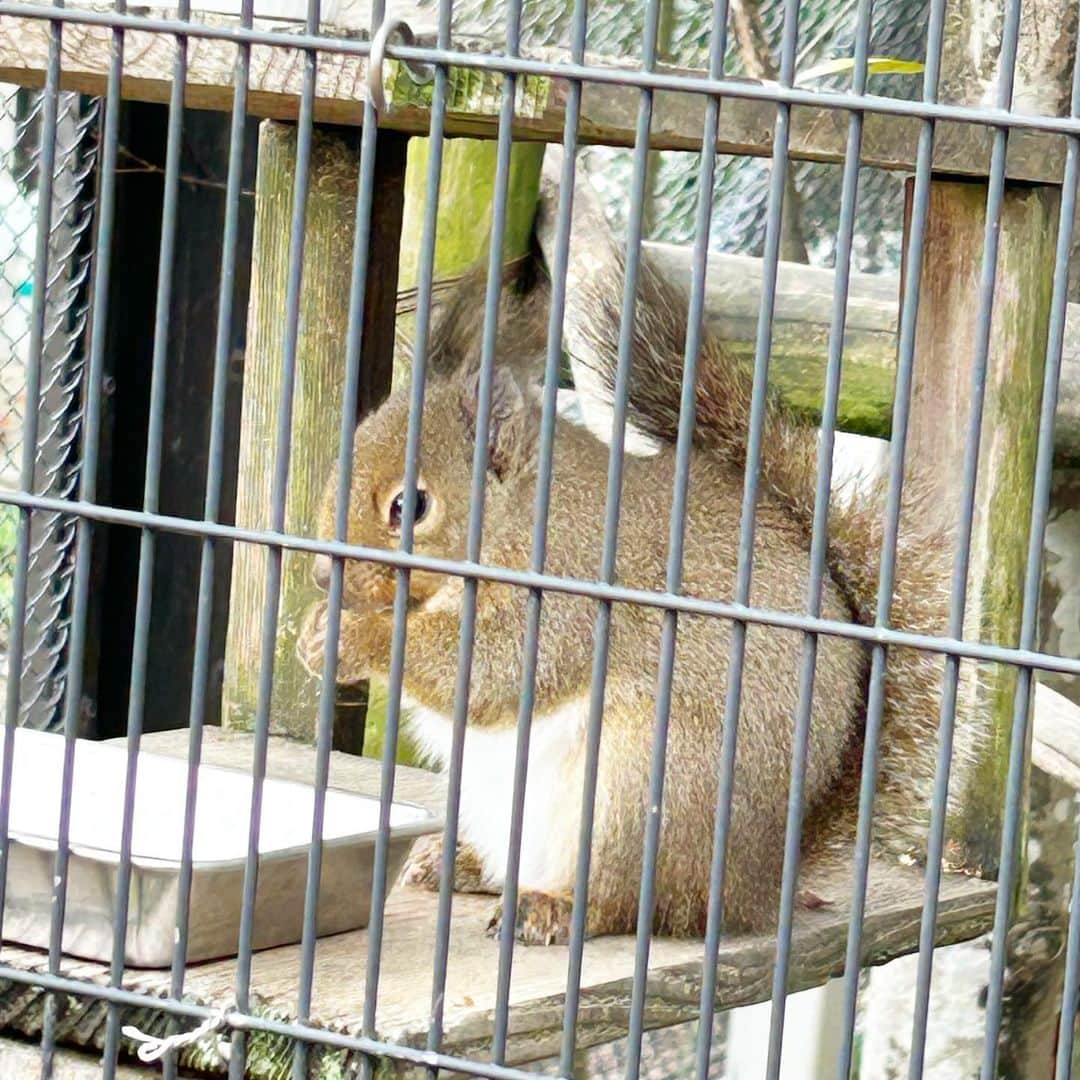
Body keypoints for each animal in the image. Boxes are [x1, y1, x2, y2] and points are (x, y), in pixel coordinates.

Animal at [298, 230, 972, 946]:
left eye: (411, 506)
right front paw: (314, 633)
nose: (321, 575)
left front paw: (352, 632)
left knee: (626, 904)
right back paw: (457, 861)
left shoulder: (567, 585)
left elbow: (491, 670)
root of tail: (754, 888)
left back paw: (554, 907)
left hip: (643, 784)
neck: (518, 517)